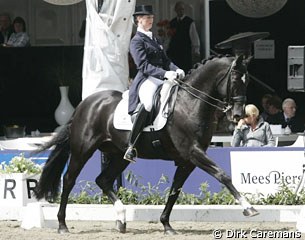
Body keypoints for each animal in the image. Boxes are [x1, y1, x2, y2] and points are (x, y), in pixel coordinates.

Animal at [33, 54, 256, 234]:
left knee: (103, 180)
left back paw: (121, 220)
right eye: (235, 79)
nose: (237, 115)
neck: (190, 103)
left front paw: (166, 225)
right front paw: (248, 207)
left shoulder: (187, 161)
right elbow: (223, 175)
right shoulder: (193, 152)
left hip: (119, 155)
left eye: (247, 82)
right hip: (82, 151)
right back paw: (62, 225)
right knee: (69, 180)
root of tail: (85, 104)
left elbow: (175, 190)